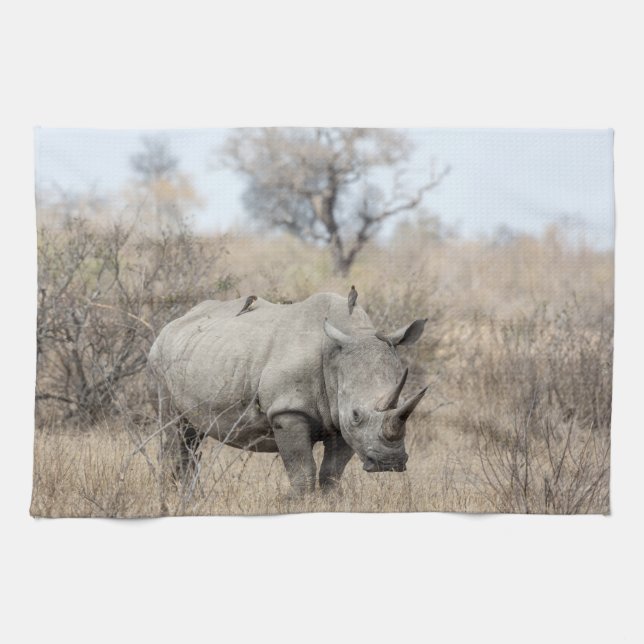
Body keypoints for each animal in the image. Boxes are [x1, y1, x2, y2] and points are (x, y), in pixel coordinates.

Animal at [148, 292, 428, 495]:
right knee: (175, 430)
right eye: (356, 415)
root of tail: (172, 324)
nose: (388, 464)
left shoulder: (339, 420)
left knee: (191, 437)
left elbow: (331, 474)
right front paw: (299, 501)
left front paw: (332, 502)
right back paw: (175, 498)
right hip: (159, 360)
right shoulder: (287, 411)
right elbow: (302, 471)